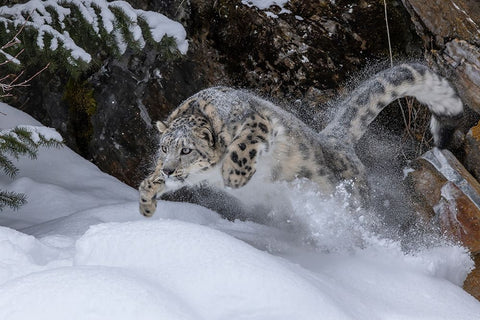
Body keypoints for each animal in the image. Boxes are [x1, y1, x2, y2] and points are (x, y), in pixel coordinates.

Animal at [140, 63, 464, 216]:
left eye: (186, 150)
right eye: (164, 148)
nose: (168, 169)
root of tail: (335, 139)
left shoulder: (257, 123)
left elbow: (242, 146)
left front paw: (233, 177)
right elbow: (148, 183)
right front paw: (146, 203)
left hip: (352, 196)